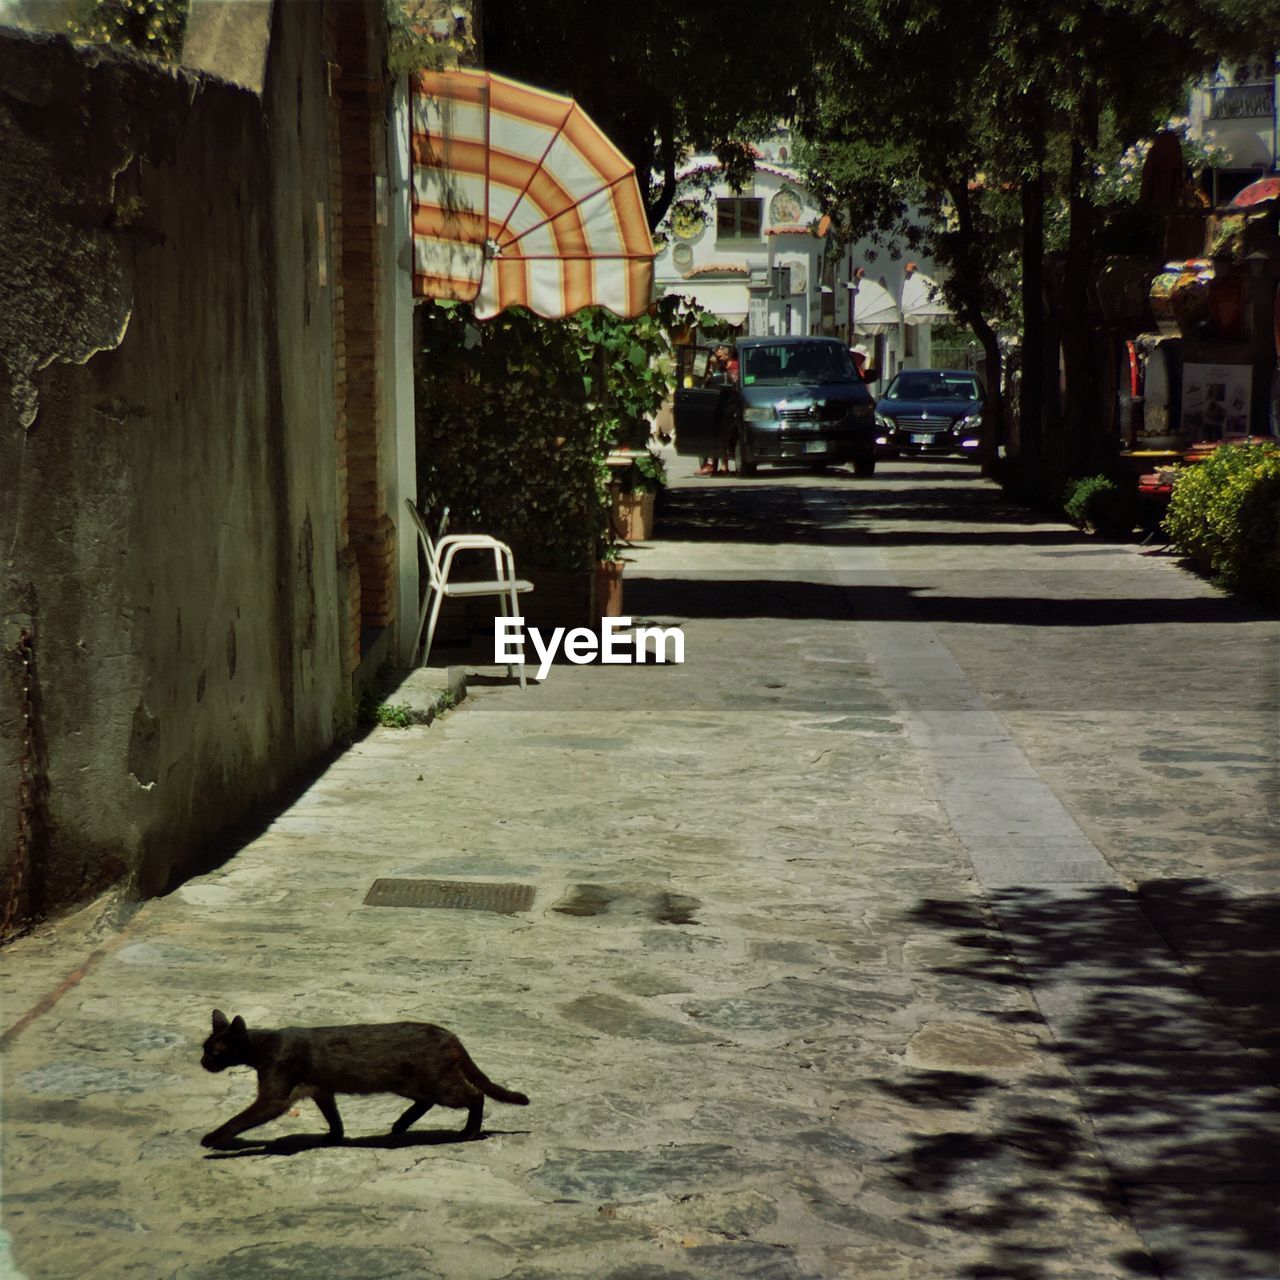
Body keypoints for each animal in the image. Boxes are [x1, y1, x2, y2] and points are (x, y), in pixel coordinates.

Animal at [197, 1008, 527, 1152]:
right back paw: (400, 1125)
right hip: (410, 1083)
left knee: (476, 1095)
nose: (202, 1063)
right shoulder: (321, 1090)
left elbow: (239, 1119)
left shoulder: (274, 1099)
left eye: (214, 1052)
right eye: (204, 1049)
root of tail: (449, 1034)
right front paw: (335, 1137)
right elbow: (333, 1116)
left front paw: (213, 1139)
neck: (264, 1046)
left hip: (437, 1083)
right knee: (427, 1101)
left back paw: (469, 1133)